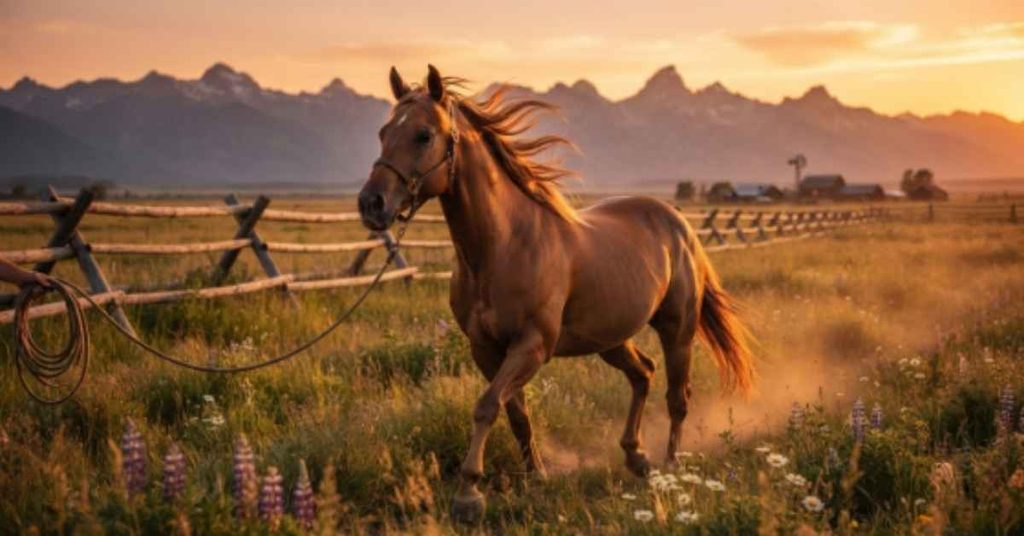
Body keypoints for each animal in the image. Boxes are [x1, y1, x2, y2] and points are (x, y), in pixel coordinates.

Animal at [358, 65, 755, 523]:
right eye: (384, 132)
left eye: (423, 135)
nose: (371, 204)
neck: (502, 246)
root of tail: (678, 223)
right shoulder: (485, 349)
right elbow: (515, 414)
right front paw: (536, 476)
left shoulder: (533, 345)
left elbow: (487, 405)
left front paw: (468, 494)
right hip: (611, 339)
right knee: (643, 373)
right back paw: (636, 457)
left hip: (678, 331)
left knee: (677, 396)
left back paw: (671, 467)